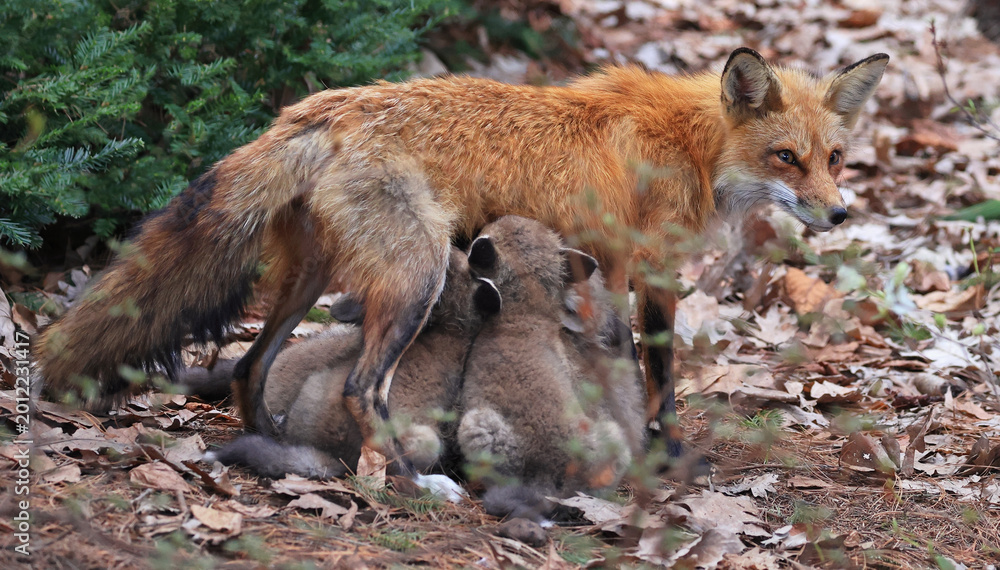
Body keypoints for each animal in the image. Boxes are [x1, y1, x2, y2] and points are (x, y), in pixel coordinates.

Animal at [33, 48, 889, 471]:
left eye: (834, 159)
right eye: (786, 158)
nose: (839, 213)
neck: (688, 146)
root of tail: (317, 109)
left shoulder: (625, 271)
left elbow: (646, 372)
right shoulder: (629, 268)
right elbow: (646, 369)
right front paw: (656, 453)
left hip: (316, 277)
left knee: (249, 366)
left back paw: (281, 446)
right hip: (415, 276)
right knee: (360, 386)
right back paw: (406, 478)